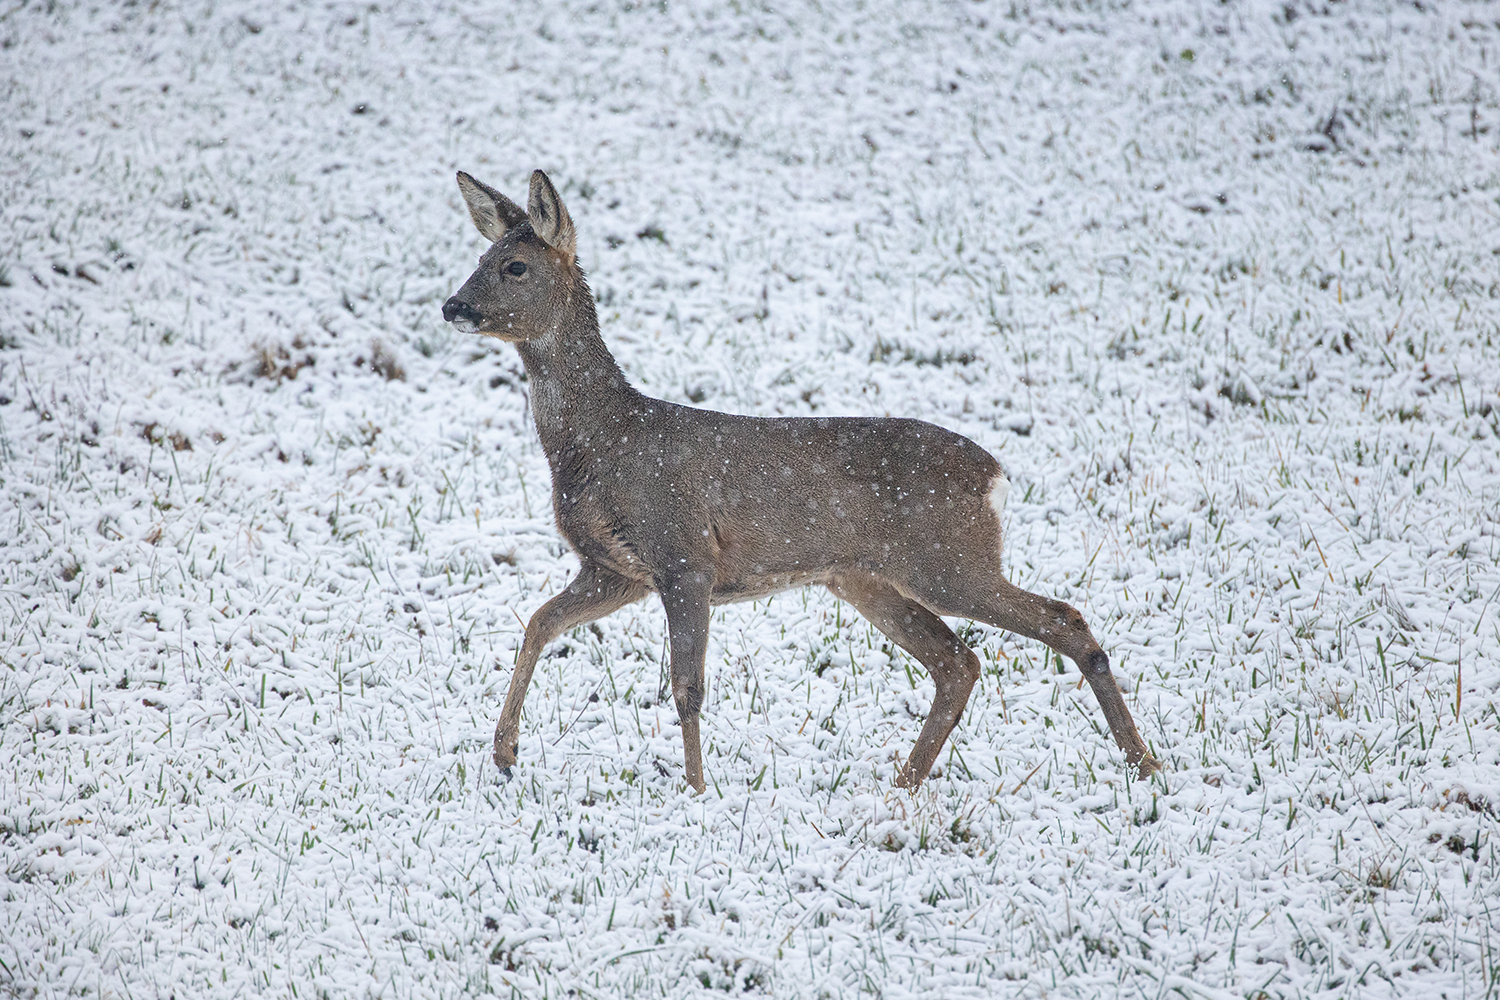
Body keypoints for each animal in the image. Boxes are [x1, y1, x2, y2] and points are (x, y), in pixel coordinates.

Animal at [438, 173, 1152, 797]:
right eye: (481, 255)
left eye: (515, 267)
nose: (453, 306)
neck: (607, 440)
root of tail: (996, 476)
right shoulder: (616, 568)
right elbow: (538, 623)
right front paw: (503, 754)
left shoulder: (684, 555)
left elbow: (687, 685)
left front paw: (696, 793)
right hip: (867, 578)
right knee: (958, 661)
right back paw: (905, 783)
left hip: (947, 560)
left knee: (1060, 618)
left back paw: (1143, 764)